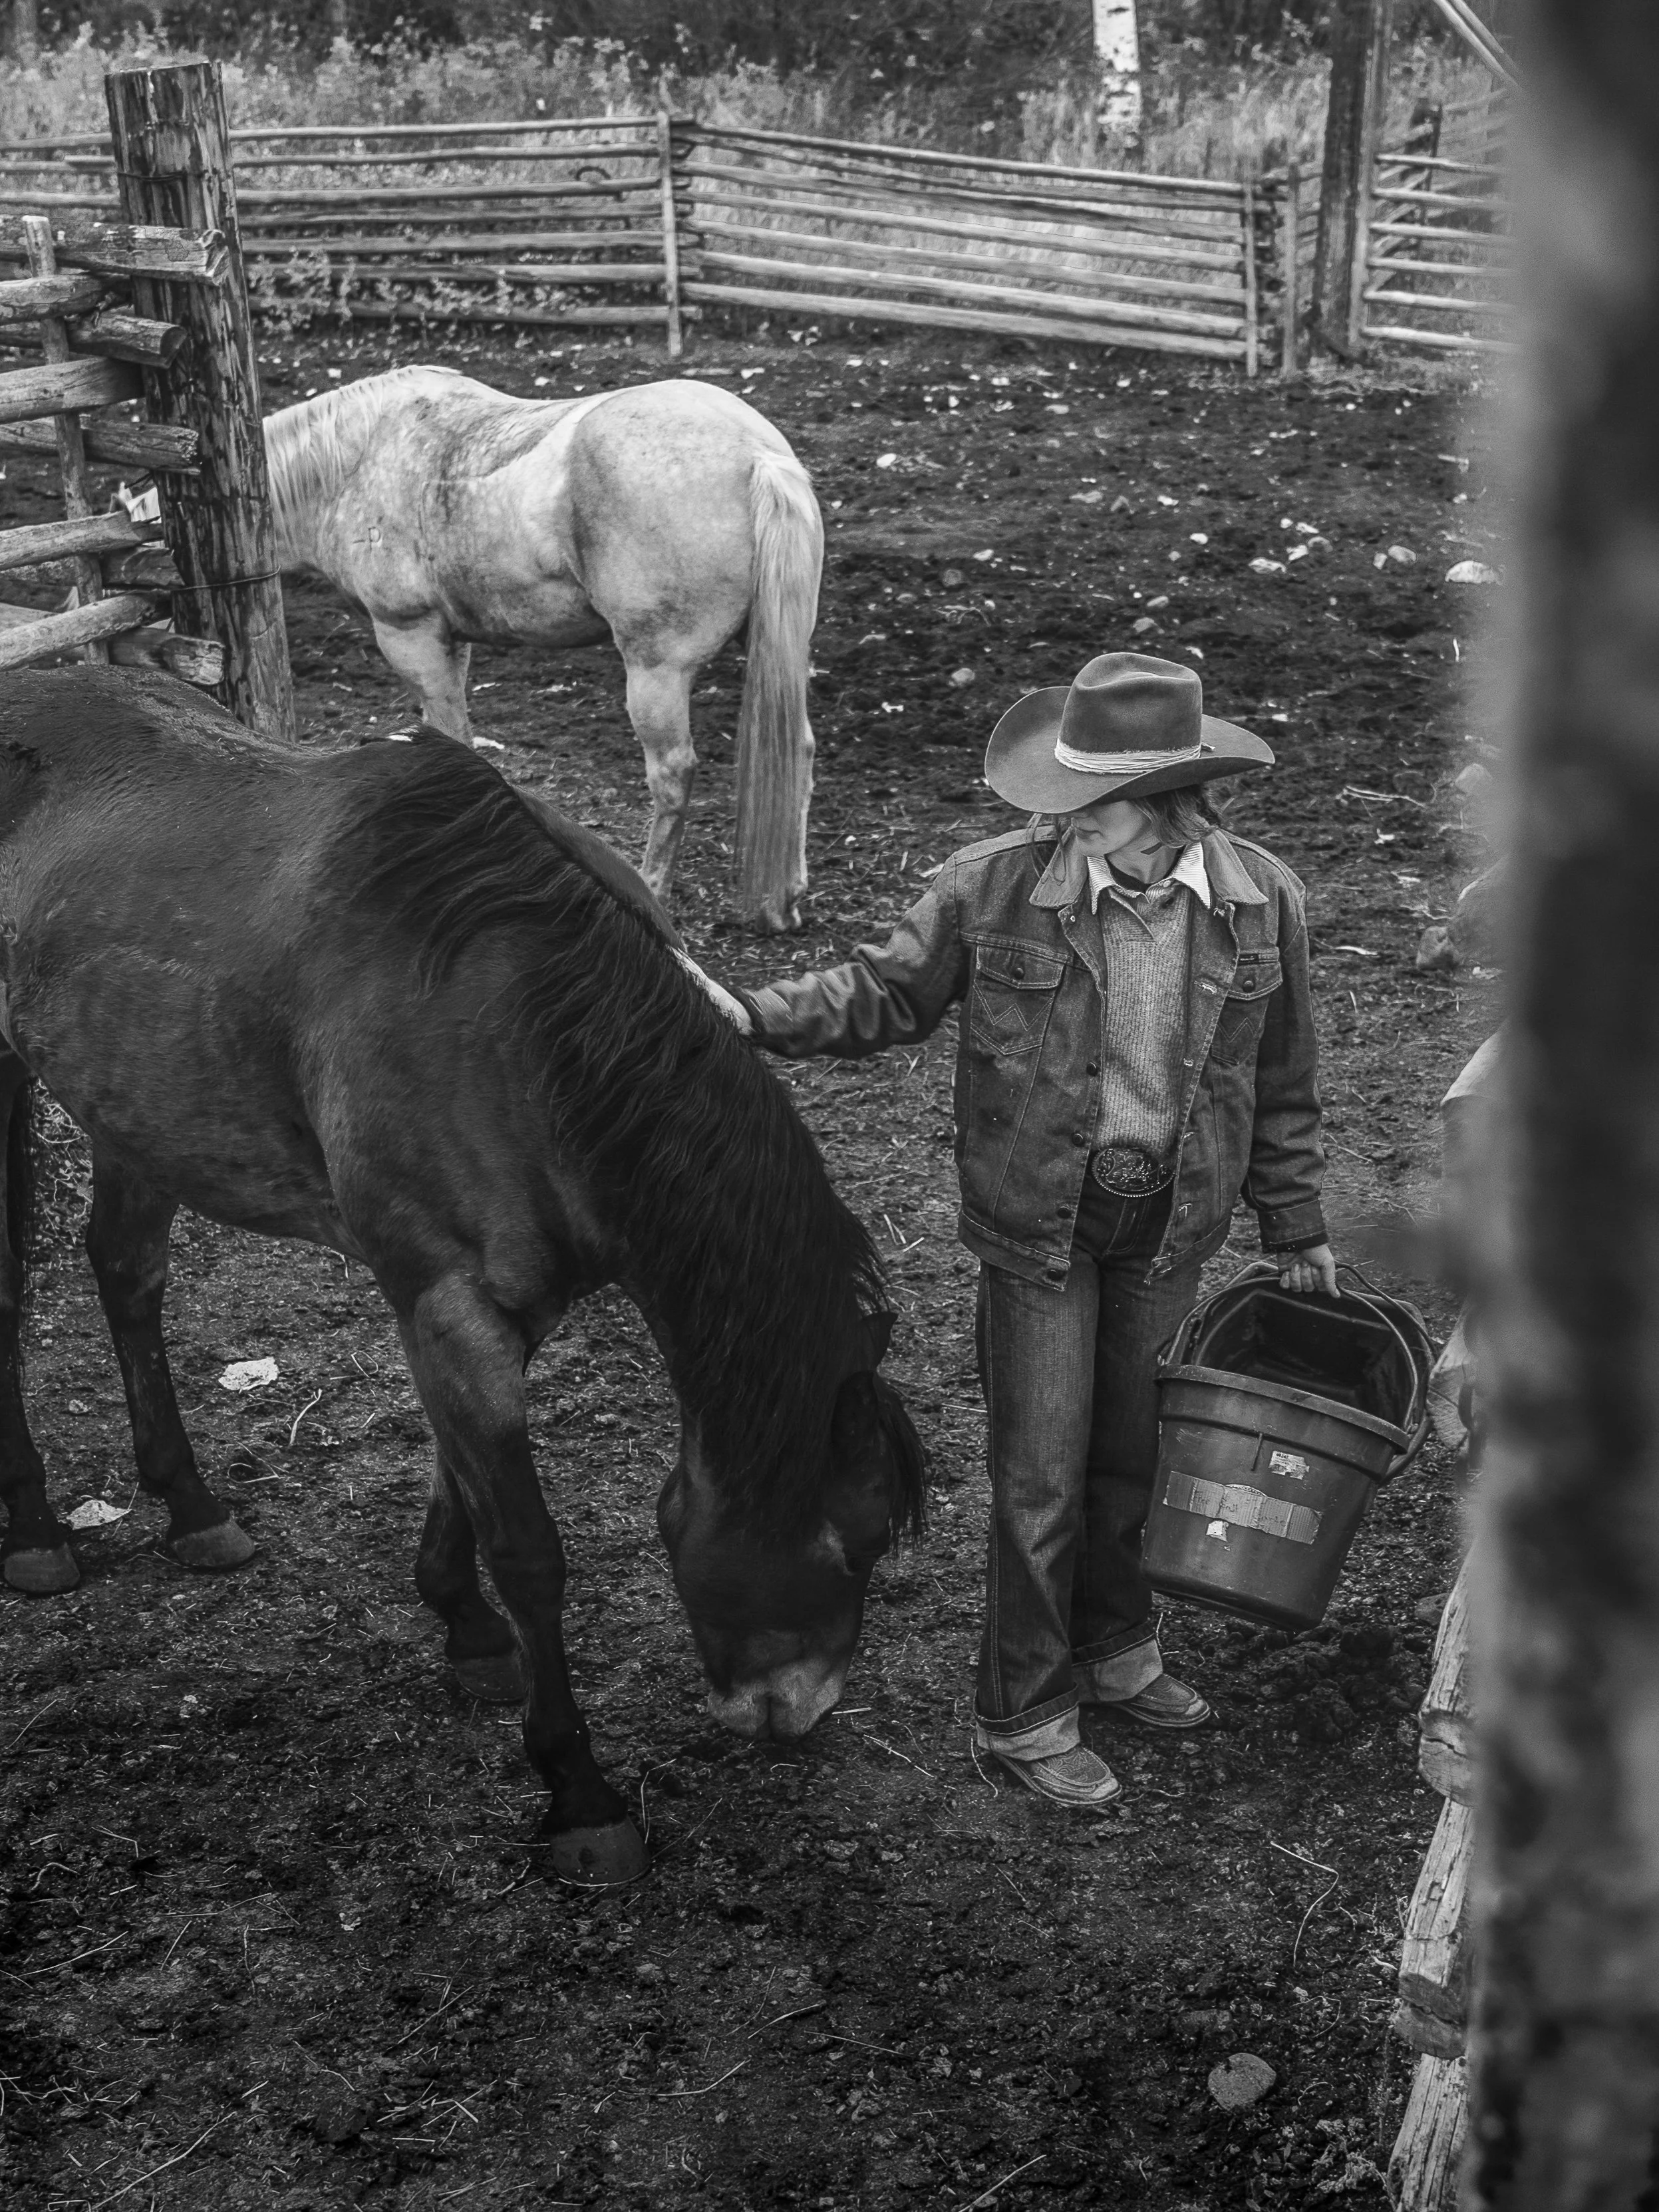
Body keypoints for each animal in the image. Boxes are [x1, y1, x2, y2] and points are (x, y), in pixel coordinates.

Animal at [0, 667, 923, 1890]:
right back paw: (34, 1530)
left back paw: (191, 1506)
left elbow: (460, 1484)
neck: (519, 1035)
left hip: (132, 1105)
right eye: (856, 1541)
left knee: (126, 1273)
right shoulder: (447, 1305)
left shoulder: (485, 1313)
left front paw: (466, 1629)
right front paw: (577, 1792)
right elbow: (527, 1548)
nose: (799, 1712)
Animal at [263, 365, 823, 934]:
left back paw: (655, 891)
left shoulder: (410, 636)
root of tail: (757, 453)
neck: (356, 460)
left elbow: (450, 738)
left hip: (656, 671)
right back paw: (783, 899)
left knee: (672, 773)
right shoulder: (450, 642)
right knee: (798, 747)